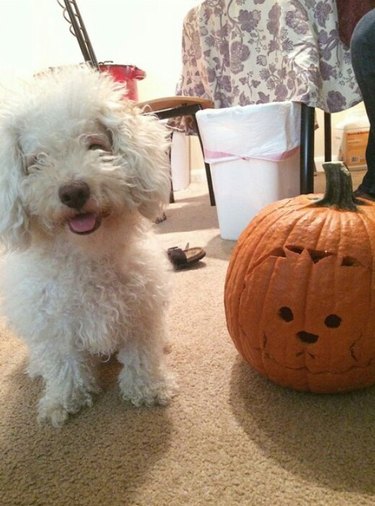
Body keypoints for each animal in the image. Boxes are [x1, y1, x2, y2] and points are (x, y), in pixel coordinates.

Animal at [0, 64, 177, 426]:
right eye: (36, 161)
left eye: (95, 145)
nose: (73, 192)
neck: (87, 256)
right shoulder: (55, 326)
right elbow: (65, 365)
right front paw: (64, 402)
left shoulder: (142, 312)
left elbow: (141, 355)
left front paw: (148, 388)